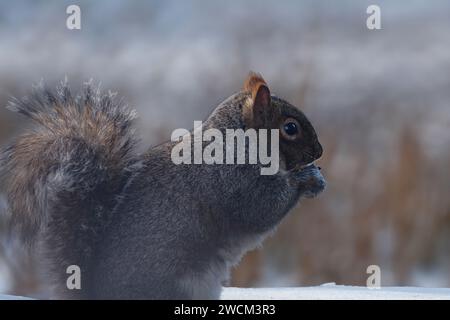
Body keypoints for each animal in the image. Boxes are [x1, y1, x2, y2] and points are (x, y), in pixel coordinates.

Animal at [0, 73, 324, 300]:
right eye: (290, 128)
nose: (319, 151)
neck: (239, 141)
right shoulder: (233, 180)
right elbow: (260, 209)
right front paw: (305, 179)